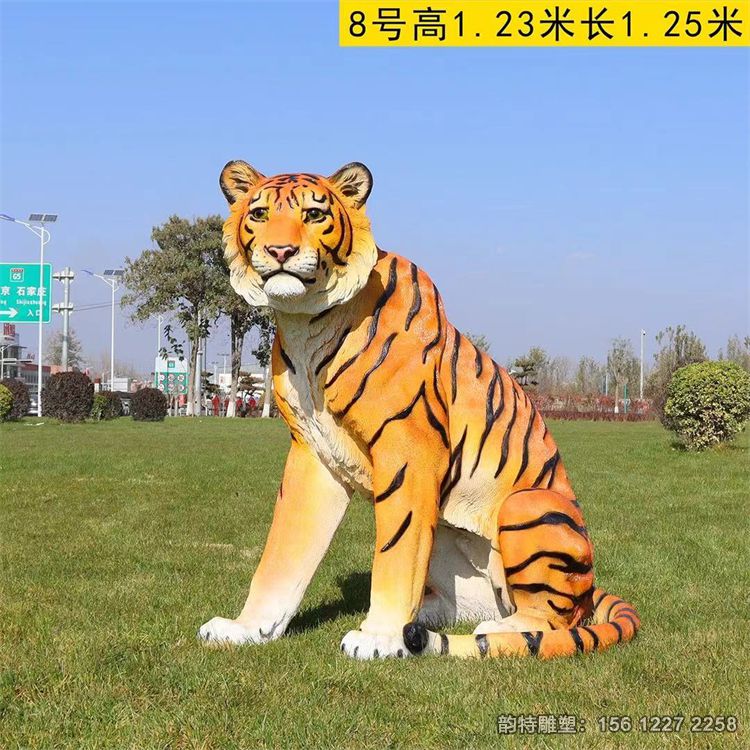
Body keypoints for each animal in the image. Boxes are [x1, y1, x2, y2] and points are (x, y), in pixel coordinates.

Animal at [198, 160, 641, 660]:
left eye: (313, 215)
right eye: (259, 214)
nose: (279, 250)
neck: (304, 320)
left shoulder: (407, 451)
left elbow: (395, 549)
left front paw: (378, 636)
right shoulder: (314, 454)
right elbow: (283, 550)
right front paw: (246, 628)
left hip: (529, 505)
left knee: (551, 618)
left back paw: (496, 629)